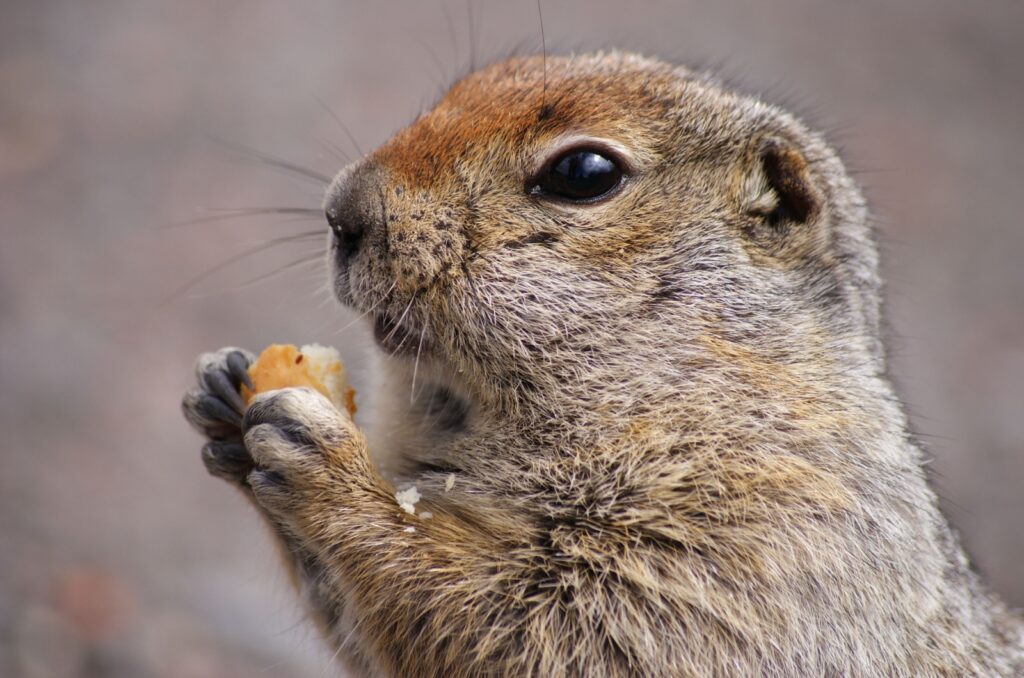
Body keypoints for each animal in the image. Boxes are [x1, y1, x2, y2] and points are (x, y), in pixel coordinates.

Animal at [184, 54, 1024, 678]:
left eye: (584, 172)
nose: (340, 212)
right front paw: (224, 388)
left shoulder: (768, 530)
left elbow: (561, 628)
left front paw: (323, 461)